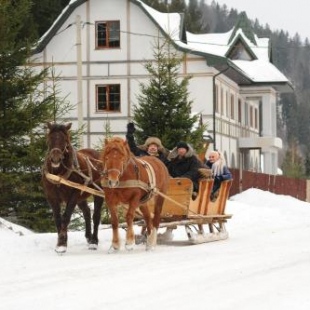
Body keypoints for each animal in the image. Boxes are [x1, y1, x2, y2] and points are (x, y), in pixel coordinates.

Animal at [41, 122, 104, 253]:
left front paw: (62, 243)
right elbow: (57, 218)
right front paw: (60, 241)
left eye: (65, 140)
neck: (58, 173)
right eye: (49, 138)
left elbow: (66, 217)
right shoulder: (51, 197)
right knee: (87, 212)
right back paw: (88, 237)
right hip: (82, 196)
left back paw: (94, 241)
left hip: (97, 192)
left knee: (96, 216)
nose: (55, 158)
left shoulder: (74, 194)